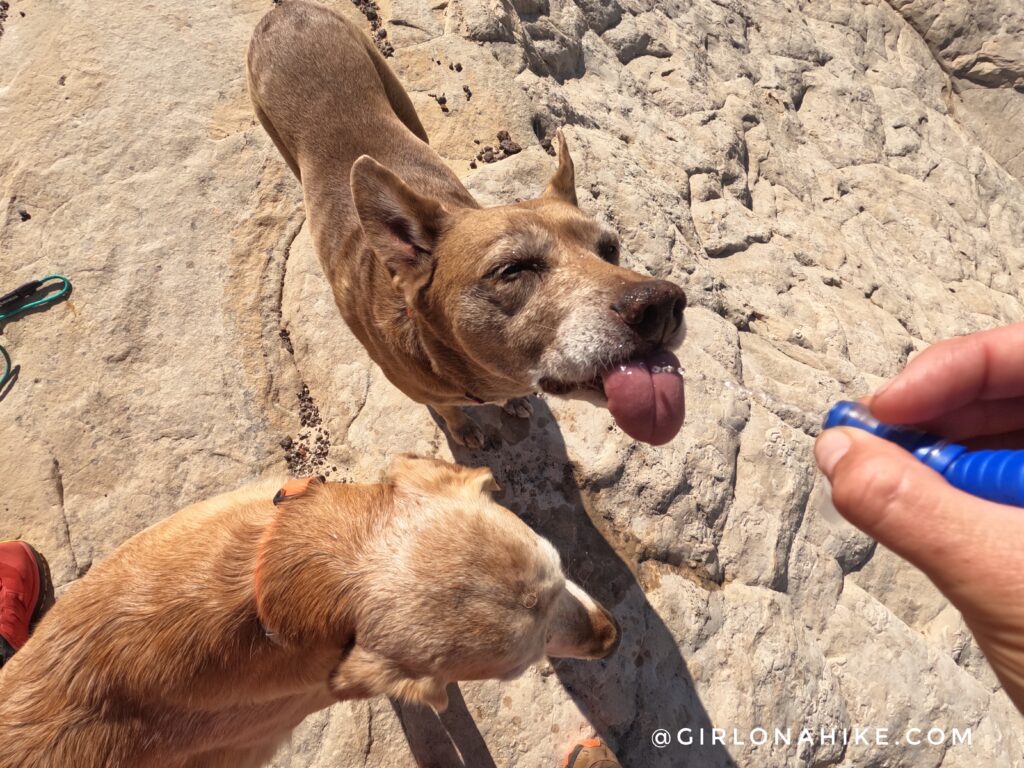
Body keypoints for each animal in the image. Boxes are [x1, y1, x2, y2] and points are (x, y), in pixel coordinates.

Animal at [243, 0, 684, 448]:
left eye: (610, 248)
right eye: (512, 269)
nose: (662, 304)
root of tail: (288, 9)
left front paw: (512, 404)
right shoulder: (428, 395)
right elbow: (450, 411)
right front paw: (465, 429)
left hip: (398, 97)